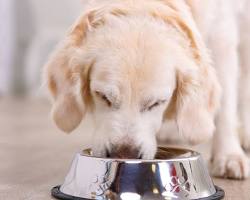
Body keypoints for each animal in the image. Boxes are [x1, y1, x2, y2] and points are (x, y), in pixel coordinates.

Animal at [43, 0, 250, 178]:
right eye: (103, 97)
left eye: (157, 103)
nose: (124, 154)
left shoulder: (222, 35)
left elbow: (225, 108)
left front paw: (229, 155)